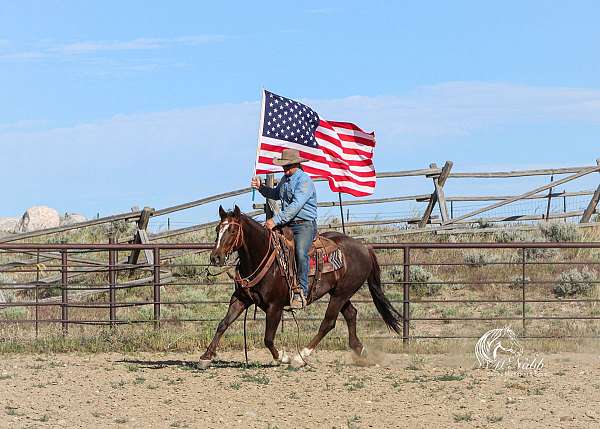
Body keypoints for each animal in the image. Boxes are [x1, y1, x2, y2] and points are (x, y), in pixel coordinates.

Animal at [202, 206, 404, 366]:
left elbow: (268, 338)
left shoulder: (274, 307)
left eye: (232, 231)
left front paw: (282, 357)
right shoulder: (240, 299)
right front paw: (206, 356)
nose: (215, 257)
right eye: (218, 229)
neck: (262, 257)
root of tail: (365, 248)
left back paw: (301, 356)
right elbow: (223, 324)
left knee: (328, 322)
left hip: (341, 294)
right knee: (351, 314)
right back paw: (360, 350)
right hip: (340, 293)